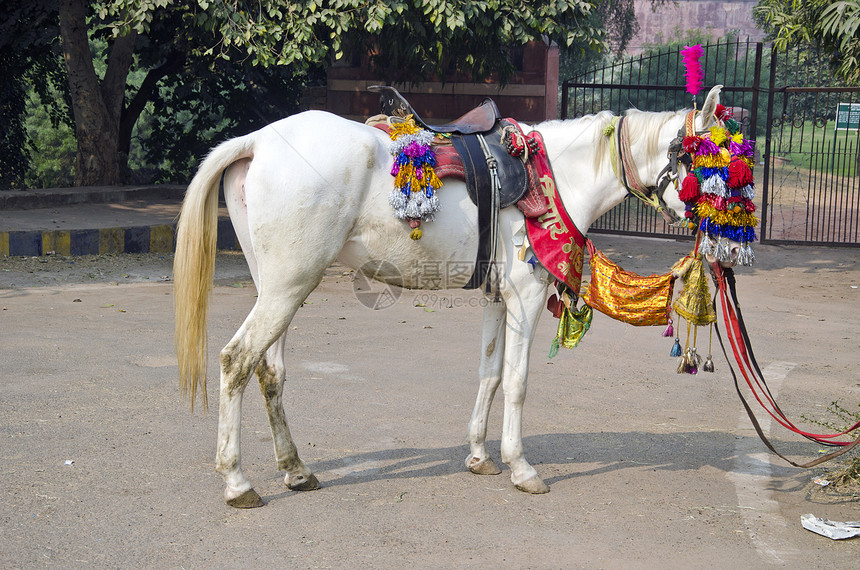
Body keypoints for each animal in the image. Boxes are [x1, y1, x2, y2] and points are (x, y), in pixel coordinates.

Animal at [178, 85, 728, 506]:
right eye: (712, 166)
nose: (726, 240)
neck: (556, 175)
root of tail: (258, 141)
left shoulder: (497, 299)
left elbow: (489, 374)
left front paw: (480, 455)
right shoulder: (526, 297)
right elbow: (517, 380)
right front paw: (520, 466)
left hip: (276, 285)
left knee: (269, 370)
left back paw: (295, 468)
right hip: (290, 284)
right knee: (236, 360)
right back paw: (237, 481)